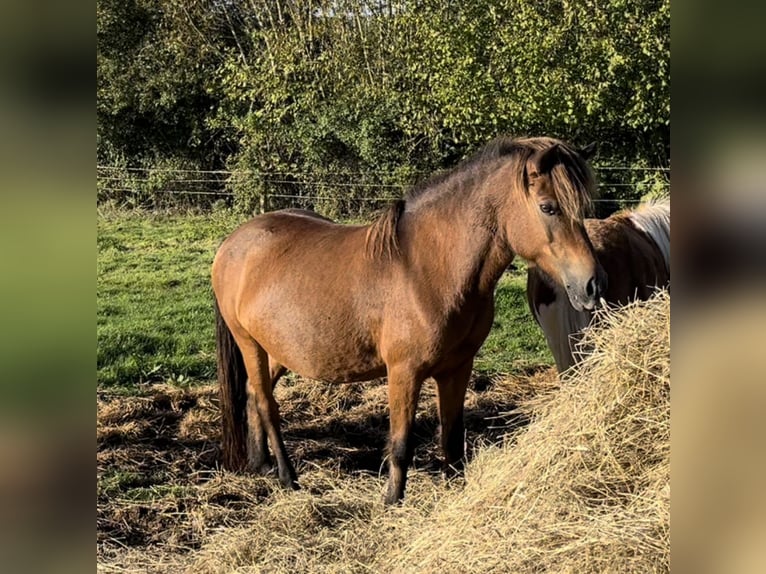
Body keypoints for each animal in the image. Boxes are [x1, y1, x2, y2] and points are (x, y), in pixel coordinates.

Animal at [212, 137, 608, 506]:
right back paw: (286, 475)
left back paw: (261, 464)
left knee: (253, 395)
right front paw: (392, 501)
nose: (592, 284)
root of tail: (233, 244)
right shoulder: (404, 372)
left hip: (277, 349)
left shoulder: (457, 369)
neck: (429, 270)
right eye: (548, 207)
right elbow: (402, 442)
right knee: (266, 403)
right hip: (249, 344)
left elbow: (453, 439)